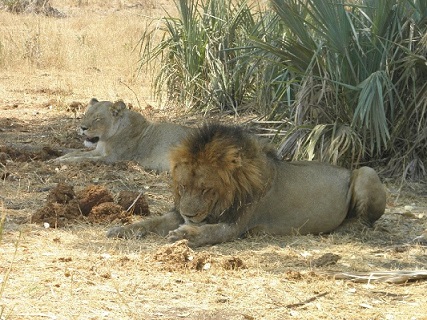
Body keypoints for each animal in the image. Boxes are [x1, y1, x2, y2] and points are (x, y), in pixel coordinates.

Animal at [55, 98, 192, 171]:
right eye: (86, 115)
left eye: (98, 119)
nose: (82, 128)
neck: (105, 140)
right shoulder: (98, 151)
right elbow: (77, 152)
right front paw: (60, 156)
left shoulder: (113, 158)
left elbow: (83, 158)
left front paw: (60, 161)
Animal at [108, 124, 388, 246]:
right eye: (183, 187)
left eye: (206, 189)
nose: (189, 215)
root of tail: (346, 168)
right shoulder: (179, 212)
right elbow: (152, 221)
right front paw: (121, 229)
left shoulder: (236, 226)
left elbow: (211, 232)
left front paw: (183, 235)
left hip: (367, 172)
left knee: (365, 221)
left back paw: (347, 226)